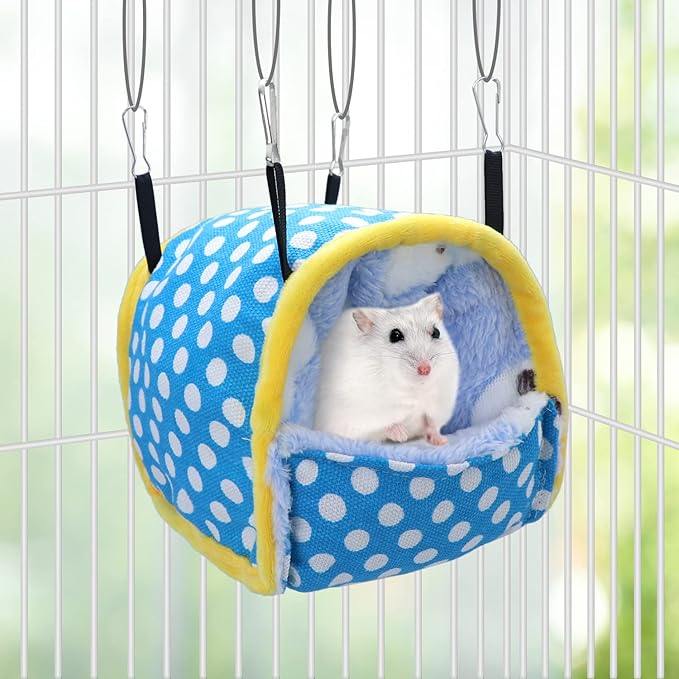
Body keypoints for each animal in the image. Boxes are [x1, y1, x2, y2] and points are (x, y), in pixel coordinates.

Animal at [314, 293, 459, 445]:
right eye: (395, 335)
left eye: (436, 332)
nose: (425, 369)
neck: (415, 388)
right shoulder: (361, 414)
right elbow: (384, 425)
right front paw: (402, 435)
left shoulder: (437, 405)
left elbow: (431, 422)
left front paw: (441, 441)